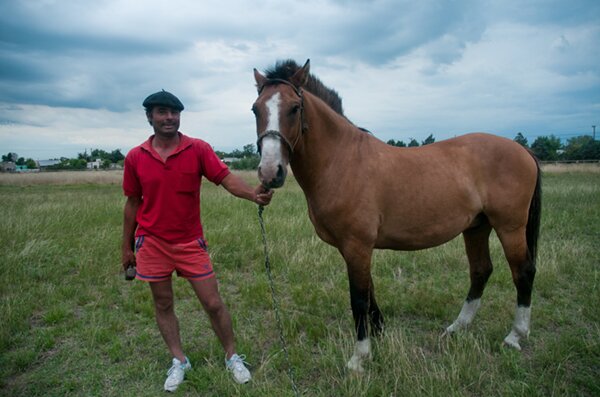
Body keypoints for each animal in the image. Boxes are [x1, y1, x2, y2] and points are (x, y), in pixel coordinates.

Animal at [251, 58, 540, 372]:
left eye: (294, 108)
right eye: (256, 109)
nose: (270, 172)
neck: (342, 160)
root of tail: (521, 149)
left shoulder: (357, 245)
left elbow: (359, 299)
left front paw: (359, 358)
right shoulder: (353, 248)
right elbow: (370, 290)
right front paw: (379, 332)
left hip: (509, 227)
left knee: (522, 271)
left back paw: (514, 336)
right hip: (476, 227)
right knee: (480, 271)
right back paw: (457, 328)